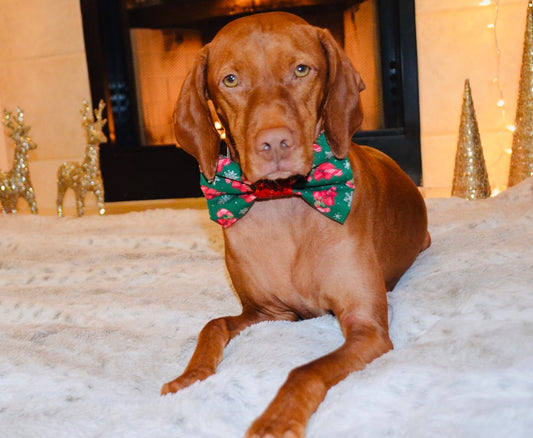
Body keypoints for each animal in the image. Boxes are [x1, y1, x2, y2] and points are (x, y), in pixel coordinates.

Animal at [161, 11, 428, 438]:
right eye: (230, 80)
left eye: (302, 70)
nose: (274, 143)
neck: (284, 202)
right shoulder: (267, 314)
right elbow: (212, 325)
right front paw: (190, 377)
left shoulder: (366, 326)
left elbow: (306, 370)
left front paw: (276, 419)